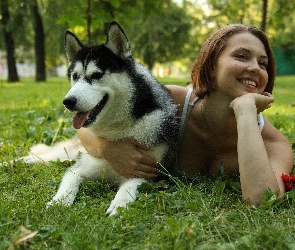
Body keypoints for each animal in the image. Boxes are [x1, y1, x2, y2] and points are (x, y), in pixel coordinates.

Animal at [20, 22, 179, 216]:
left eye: (96, 75)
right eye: (74, 76)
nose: (68, 101)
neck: (118, 130)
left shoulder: (148, 173)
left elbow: (128, 188)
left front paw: (119, 204)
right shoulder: (78, 169)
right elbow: (68, 185)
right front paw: (59, 202)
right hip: (65, 154)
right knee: (36, 157)